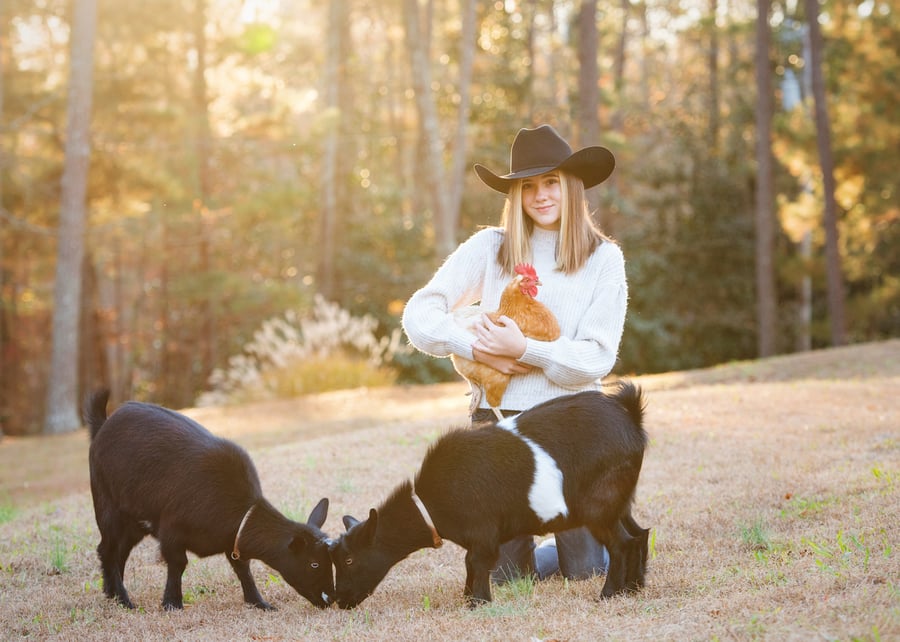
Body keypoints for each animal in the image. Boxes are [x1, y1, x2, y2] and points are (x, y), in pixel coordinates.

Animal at [83, 388, 334, 608]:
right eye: (313, 563)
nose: (329, 599)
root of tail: (104, 423)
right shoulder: (171, 531)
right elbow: (178, 564)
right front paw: (172, 603)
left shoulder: (233, 540)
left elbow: (242, 567)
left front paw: (258, 602)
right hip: (107, 507)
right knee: (107, 550)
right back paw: (124, 600)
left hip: (134, 522)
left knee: (119, 552)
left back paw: (112, 594)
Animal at [328, 380, 648, 604]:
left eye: (349, 559)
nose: (339, 600)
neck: (428, 504)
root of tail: (629, 415)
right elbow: (471, 564)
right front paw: (469, 598)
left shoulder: (483, 534)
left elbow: (475, 563)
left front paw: (476, 602)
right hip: (620, 502)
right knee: (639, 535)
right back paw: (634, 588)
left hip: (600, 507)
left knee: (621, 544)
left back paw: (608, 594)